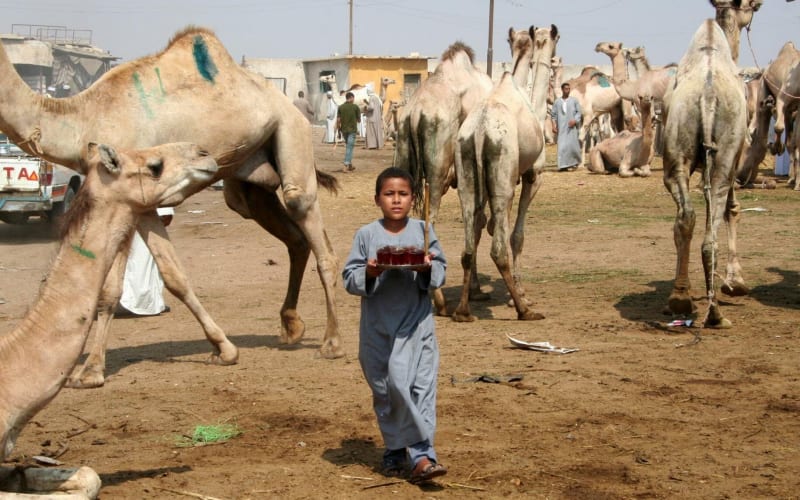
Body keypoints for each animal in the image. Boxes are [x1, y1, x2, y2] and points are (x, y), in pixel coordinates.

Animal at [0, 27, 344, 388]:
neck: (83, 117)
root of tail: (289, 105)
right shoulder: (131, 199)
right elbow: (166, 275)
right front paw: (222, 349)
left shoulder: (132, 193)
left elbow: (125, 285)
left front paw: (91, 370)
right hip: (249, 181)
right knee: (290, 235)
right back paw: (291, 326)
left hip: (291, 133)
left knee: (307, 218)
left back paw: (331, 343)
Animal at [394, 41, 493, 315]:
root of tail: (416, 113)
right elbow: (477, 222)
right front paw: (476, 291)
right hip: (437, 170)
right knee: (430, 221)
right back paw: (439, 301)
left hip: (402, 149)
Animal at [452, 25, 558, 322]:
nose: (556, 60)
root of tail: (479, 132)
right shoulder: (533, 175)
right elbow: (517, 235)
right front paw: (520, 295)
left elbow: (486, 226)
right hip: (502, 179)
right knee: (499, 248)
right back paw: (525, 311)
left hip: (467, 175)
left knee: (468, 244)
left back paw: (463, 310)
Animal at [661, 19, 748, 327]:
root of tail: (708, 98)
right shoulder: (736, 157)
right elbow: (733, 208)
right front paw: (736, 283)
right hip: (720, 155)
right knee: (712, 213)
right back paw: (707, 310)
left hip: (679, 153)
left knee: (688, 218)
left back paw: (688, 302)